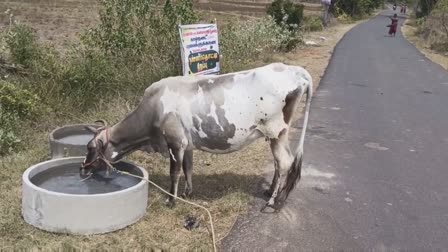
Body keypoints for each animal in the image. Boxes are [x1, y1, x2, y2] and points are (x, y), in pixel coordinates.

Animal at [81, 63, 312, 211]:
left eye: (90, 147)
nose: (82, 168)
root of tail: (294, 70)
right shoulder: (187, 144)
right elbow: (188, 168)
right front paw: (188, 193)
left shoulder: (175, 142)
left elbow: (174, 172)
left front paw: (171, 201)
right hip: (277, 135)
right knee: (279, 163)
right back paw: (270, 191)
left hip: (276, 130)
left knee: (284, 162)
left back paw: (272, 201)